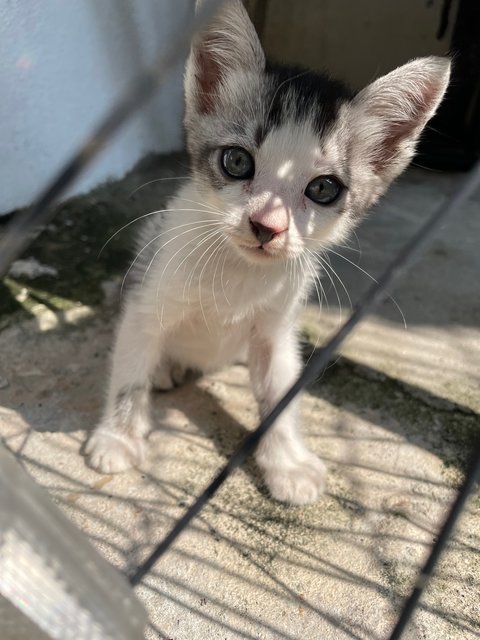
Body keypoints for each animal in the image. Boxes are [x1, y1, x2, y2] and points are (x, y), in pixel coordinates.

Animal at [85, 2, 450, 508]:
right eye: (237, 161)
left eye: (323, 189)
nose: (267, 226)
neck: (239, 272)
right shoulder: (147, 296)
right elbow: (129, 371)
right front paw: (118, 438)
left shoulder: (277, 328)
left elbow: (281, 393)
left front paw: (288, 464)